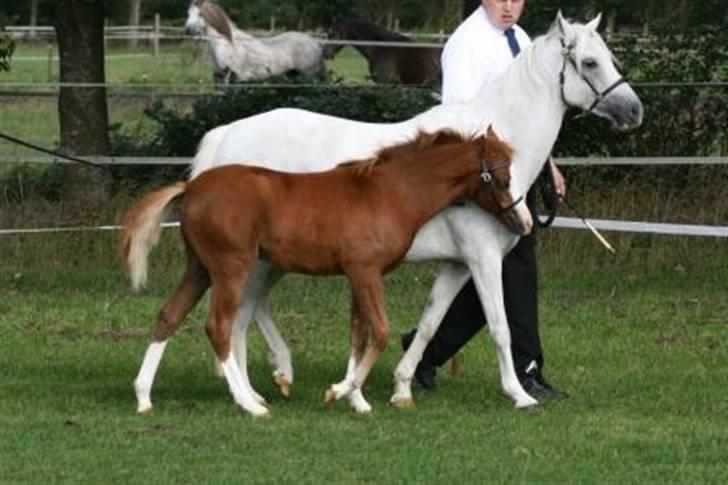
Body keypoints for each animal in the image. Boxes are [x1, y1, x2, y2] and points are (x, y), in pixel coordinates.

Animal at [123, 127, 528, 417]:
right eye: (502, 176)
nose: (522, 223)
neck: (390, 192)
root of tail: (190, 187)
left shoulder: (359, 275)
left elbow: (359, 335)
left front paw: (358, 401)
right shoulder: (365, 272)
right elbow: (380, 332)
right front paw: (339, 391)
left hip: (201, 268)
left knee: (169, 316)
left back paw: (144, 398)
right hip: (231, 268)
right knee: (220, 326)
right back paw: (250, 403)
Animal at [162, 12, 643, 415]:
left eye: (610, 57)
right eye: (589, 63)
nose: (634, 110)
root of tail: (226, 136)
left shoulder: (458, 264)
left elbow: (430, 323)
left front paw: (402, 387)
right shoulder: (485, 259)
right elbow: (500, 326)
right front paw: (520, 394)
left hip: (268, 259)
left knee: (246, 313)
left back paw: (267, 382)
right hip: (255, 259)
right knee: (240, 315)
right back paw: (263, 383)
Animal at [183, 0, 323, 84]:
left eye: (200, 14)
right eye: (188, 13)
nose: (187, 30)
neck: (228, 45)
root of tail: (315, 43)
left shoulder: (236, 79)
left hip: (307, 76)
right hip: (292, 75)